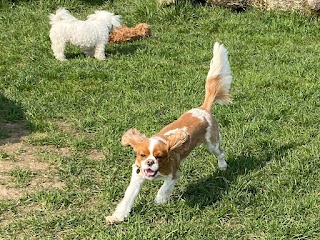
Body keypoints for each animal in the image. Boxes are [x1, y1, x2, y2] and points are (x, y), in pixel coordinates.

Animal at [106, 42, 231, 224]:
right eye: (143, 155)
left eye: (159, 156)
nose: (150, 162)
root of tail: (203, 109)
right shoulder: (137, 176)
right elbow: (127, 198)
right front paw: (117, 216)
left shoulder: (174, 174)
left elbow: (164, 187)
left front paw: (159, 200)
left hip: (211, 142)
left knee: (220, 152)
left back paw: (222, 166)